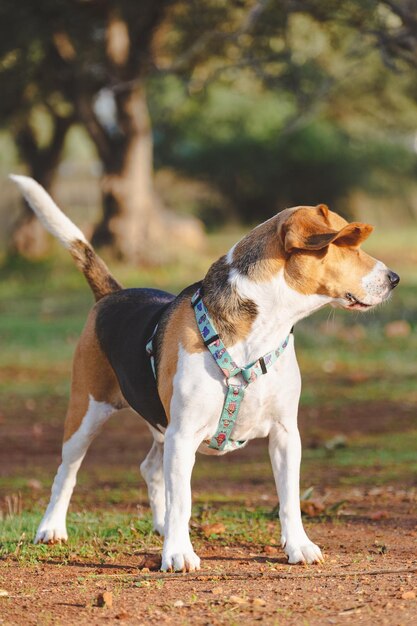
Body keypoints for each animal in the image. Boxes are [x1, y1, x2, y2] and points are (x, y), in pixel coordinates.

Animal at [11, 174, 398, 572]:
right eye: (350, 243)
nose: (395, 278)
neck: (263, 329)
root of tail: (111, 295)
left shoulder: (286, 434)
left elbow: (289, 498)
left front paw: (298, 546)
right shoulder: (184, 435)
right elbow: (183, 499)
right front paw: (179, 553)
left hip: (160, 427)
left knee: (150, 469)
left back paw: (162, 525)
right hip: (87, 414)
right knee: (67, 473)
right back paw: (52, 528)